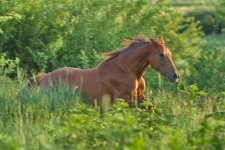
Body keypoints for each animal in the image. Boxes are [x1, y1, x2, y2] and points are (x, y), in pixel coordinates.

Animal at [36, 35, 179, 106]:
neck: (126, 71)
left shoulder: (140, 96)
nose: (175, 76)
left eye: (170, 54)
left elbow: (151, 107)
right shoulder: (121, 99)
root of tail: (45, 77)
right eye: (161, 54)